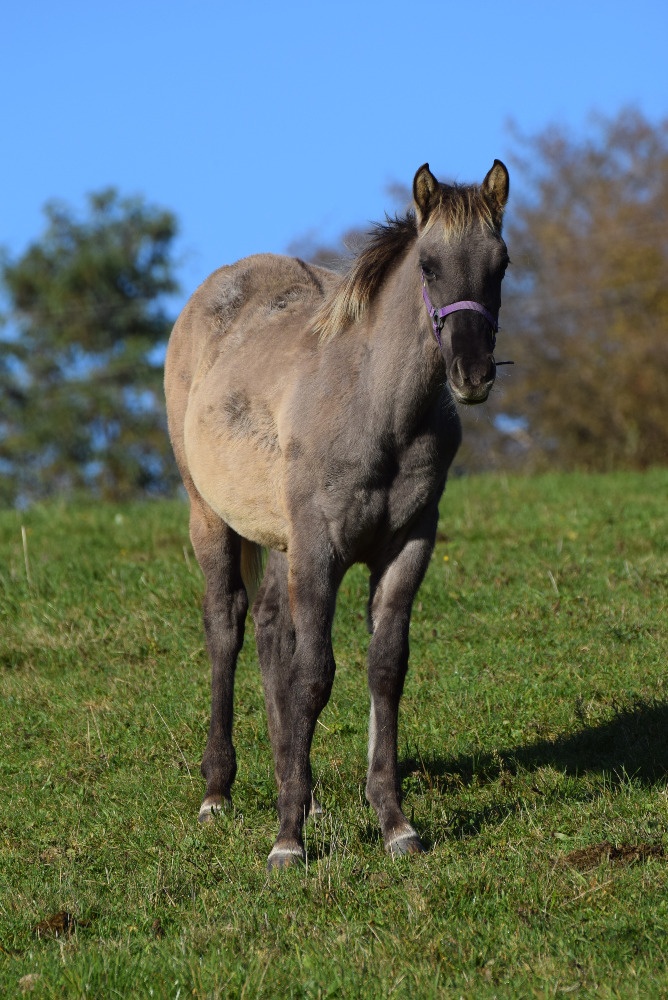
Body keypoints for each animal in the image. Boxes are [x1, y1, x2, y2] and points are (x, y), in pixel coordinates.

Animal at [164, 160, 510, 869]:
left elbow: (384, 668)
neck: (376, 408)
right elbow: (316, 675)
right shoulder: (320, 550)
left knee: (271, 634)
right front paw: (287, 841)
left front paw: (392, 822)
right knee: (227, 628)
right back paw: (219, 792)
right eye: (429, 265)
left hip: (281, 544)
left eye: (502, 264)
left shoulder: (407, 545)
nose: (472, 374)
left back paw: (300, 785)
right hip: (209, 516)